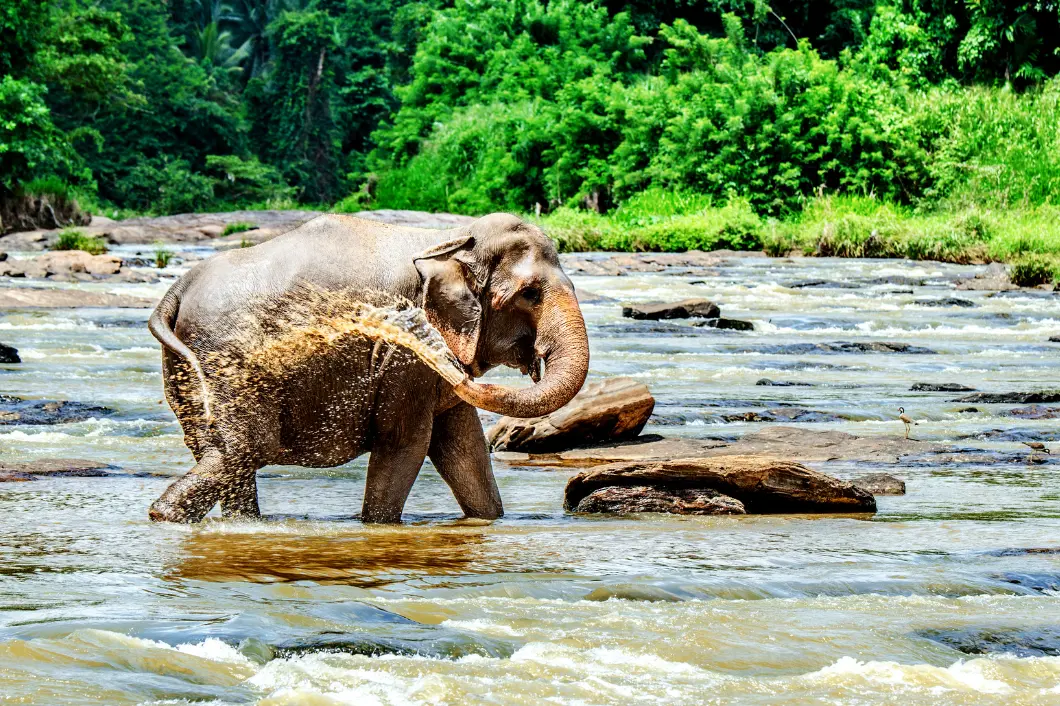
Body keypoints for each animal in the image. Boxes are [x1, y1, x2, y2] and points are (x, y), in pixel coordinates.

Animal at [147, 212, 589, 519]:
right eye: (530, 294)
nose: (410, 333)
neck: (449, 237)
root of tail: (176, 290)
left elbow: (463, 448)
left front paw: (489, 518)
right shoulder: (403, 367)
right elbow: (405, 444)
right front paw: (378, 525)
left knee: (228, 457)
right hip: (228, 366)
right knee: (244, 450)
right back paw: (167, 516)